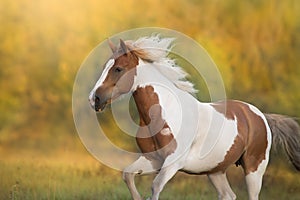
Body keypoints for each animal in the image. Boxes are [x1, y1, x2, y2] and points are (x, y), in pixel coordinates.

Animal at [88, 36, 300, 200]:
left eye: (118, 69)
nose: (94, 99)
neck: (166, 113)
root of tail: (260, 116)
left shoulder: (172, 163)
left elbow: (155, 187)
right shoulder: (153, 159)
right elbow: (128, 175)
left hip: (254, 168)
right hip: (216, 171)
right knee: (228, 195)